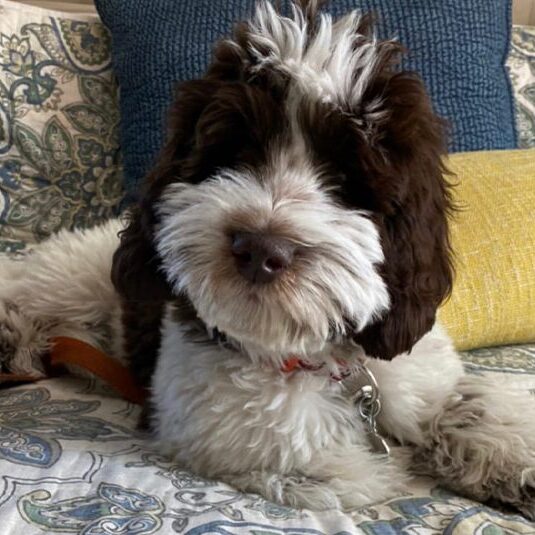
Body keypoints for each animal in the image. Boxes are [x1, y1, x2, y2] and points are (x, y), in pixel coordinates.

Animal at [1, 0, 535, 520]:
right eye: (236, 153)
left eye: (346, 178)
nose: (260, 248)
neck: (319, 358)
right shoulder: (227, 429)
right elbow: (345, 472)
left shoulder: (417, 371)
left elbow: (464, 401)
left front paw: (513, 460)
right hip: (72, 279)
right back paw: (16, 342)